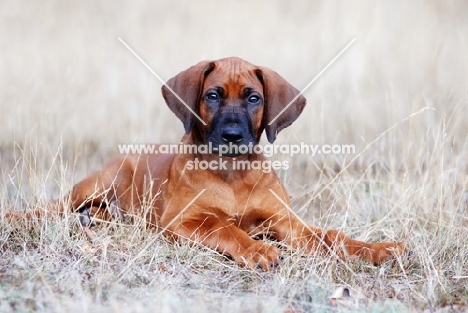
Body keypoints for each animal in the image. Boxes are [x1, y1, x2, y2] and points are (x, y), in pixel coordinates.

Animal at [6, 57, 406, 270]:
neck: (232, 175)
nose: (232, 135)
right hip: (98, 182)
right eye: (212, 96)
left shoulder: (286, 222)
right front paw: (256, 249)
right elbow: (224, 227)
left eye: (253, 98)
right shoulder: (182, 221)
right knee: (54, 207)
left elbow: (332, 237)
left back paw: (95, 218)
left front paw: (376, 248)